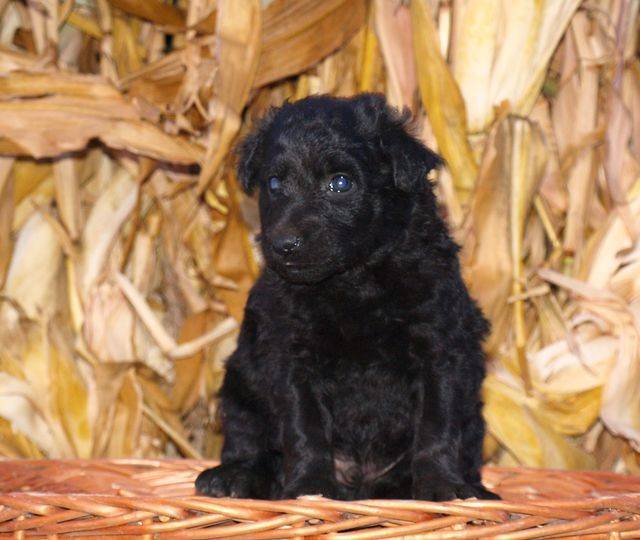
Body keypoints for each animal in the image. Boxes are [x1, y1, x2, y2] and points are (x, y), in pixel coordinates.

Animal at [195, 94, 497, 501]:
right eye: (274, 183)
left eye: (340, 183)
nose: (284, 244)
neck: (354, 280)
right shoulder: (291, 357)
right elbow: (305, 427)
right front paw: (310, 487)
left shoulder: (440, 349)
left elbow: (438, 425)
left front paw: (442, 486)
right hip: (241, 383)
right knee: (249, 440)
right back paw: (232, 477)